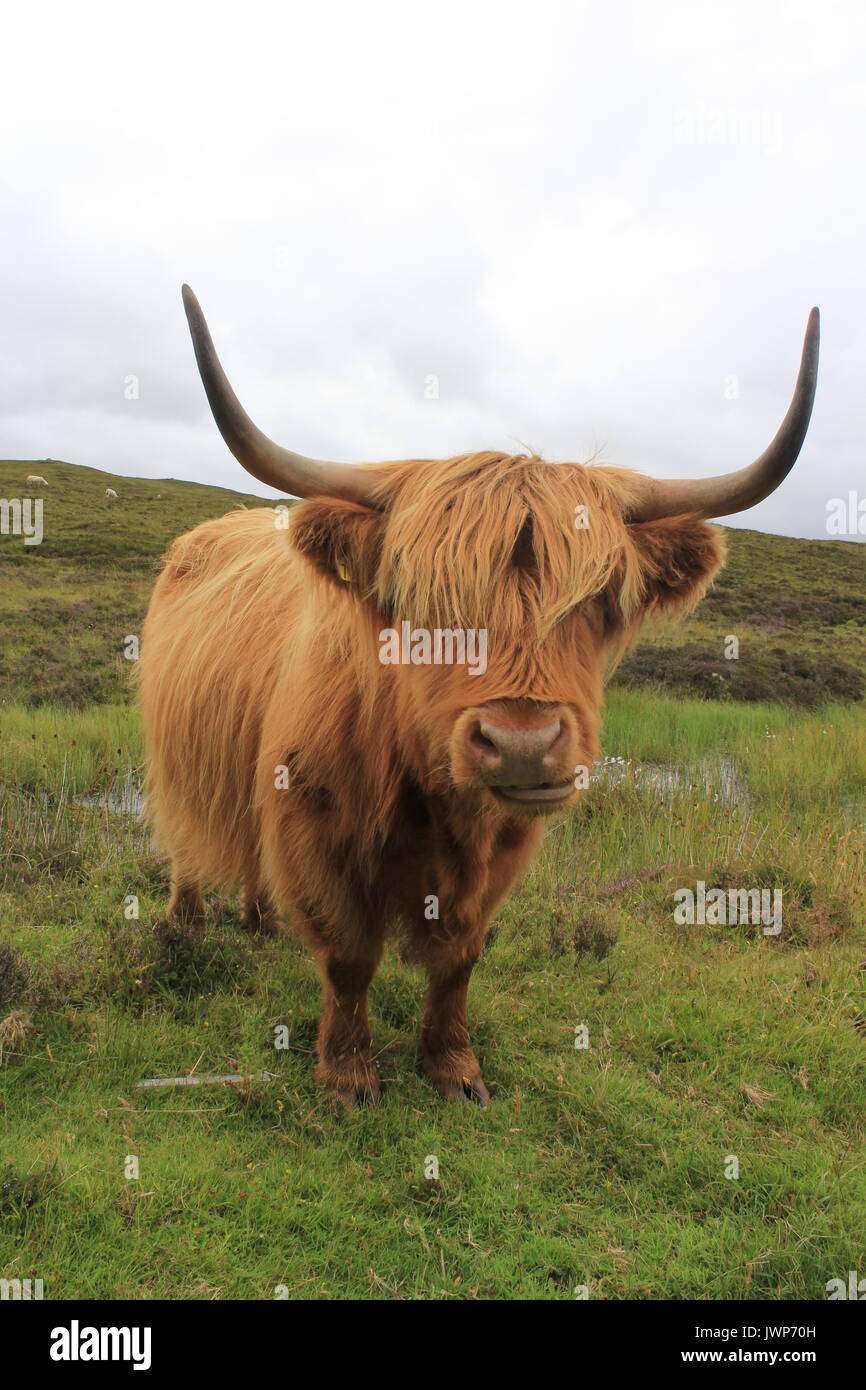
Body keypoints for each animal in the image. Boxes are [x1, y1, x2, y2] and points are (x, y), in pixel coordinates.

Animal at [138, 286, 819, 1109]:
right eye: (421, 601)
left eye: (600, 600)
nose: (522, 745)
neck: (430, 799)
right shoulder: (314, 826)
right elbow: (348, 960)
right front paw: (348, 1075)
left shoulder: (502, 852)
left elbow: (459, 960)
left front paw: (454, 1068)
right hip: (181, 760)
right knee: (186, 838)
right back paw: (185, 924)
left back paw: (261, 919)